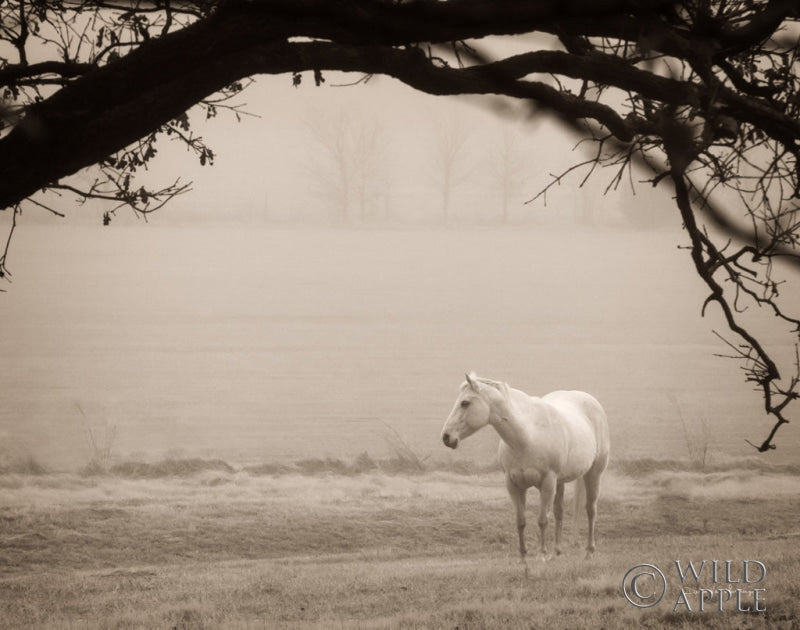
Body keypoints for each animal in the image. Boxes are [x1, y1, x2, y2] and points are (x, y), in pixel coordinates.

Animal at [440, 372, 610, 571]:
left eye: (465, 403)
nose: (446, 437)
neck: (527, 436)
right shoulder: (514, 485)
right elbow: (520, 521)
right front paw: (523, 558)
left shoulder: (547, 483)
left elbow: (542, 520)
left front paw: (541, 556)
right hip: (560, 482)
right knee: (559, 512)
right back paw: (556, 553)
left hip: (593, 474)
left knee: (591, 510)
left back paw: (589, 552)